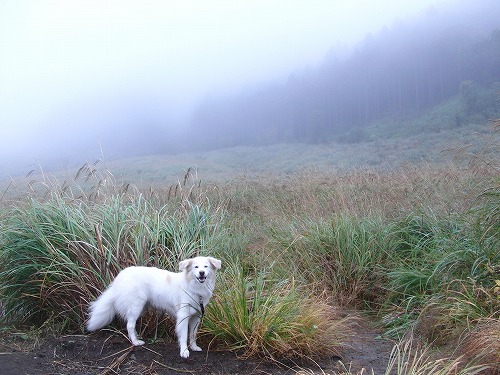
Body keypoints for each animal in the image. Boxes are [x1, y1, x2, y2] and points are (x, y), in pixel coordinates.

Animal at [86, 258, 221, 360]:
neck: (194, 288)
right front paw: (184, 352)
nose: (202, 273)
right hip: (136, 306)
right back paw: (135, 342)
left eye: (206, 266)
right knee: (130, 325)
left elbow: (192, 334)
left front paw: (194, 347)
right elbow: (183, 335)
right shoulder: (183, 316)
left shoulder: (196, 316)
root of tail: (120, 276)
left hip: (142, 307)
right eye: (196, 267)